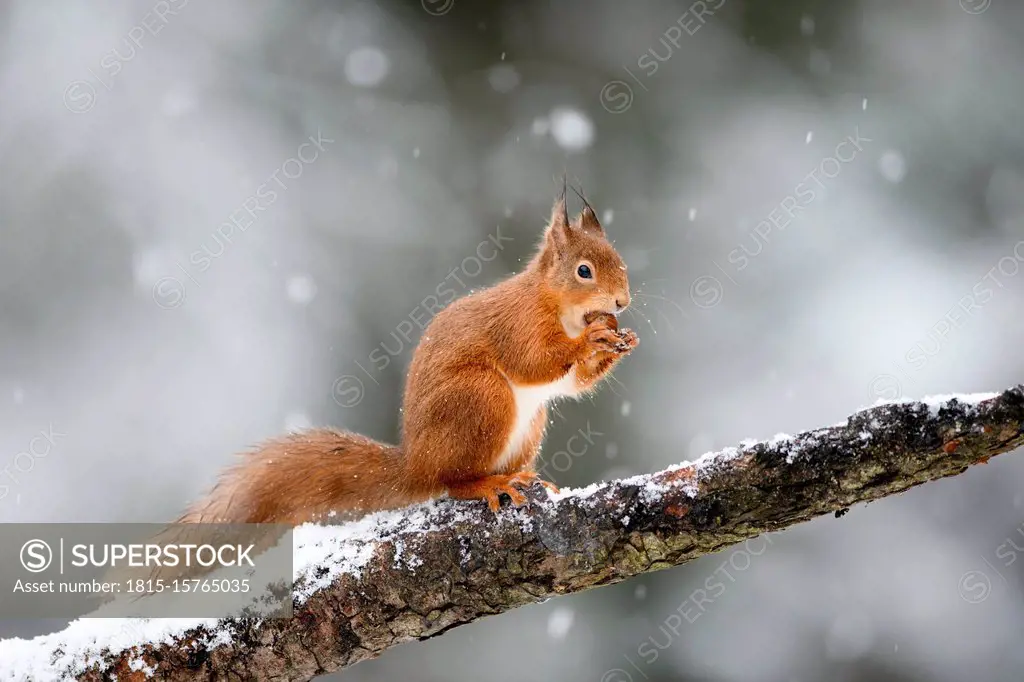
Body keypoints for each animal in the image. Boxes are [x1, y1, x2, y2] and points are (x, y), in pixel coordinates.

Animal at [180, 191, 634, 524]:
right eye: (584, 271)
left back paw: (519, 475)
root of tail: (416, 465)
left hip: (528, 423)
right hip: (481, 398)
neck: (560, 308)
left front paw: (620, 342)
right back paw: (489, 485)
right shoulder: (518, 324)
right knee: (452, 481)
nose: (622, 302)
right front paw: (591, 339)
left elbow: (573, 384)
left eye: (622, 264)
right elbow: (535, 361)